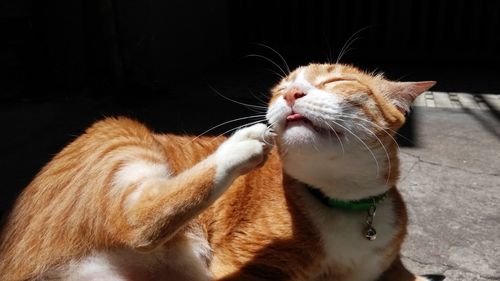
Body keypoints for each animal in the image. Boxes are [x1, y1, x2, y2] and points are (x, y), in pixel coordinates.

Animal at [0, 63, 436, 280]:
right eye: (280, 89)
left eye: (336, 80)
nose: (292, 95)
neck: (340, 199)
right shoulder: (252, 266)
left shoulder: (387, 269)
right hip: (120, 135)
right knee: (139, 221)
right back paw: (240, 145)